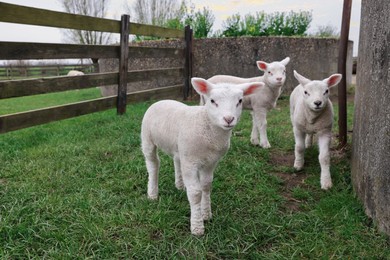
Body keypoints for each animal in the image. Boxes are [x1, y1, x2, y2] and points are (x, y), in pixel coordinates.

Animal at [140, 77, 262, 236]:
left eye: (240, 101)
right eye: (212, 101)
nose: (229, 119)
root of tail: (161, 100)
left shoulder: (211, 162)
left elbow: (206, 186)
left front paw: (206, 214)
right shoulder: (190, 162)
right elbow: (196, 193)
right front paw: (197, 226)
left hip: (180, 148)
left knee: (176, 160)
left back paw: (180, 185)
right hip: (147, 139)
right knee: (153, 165)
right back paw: (153, 193)